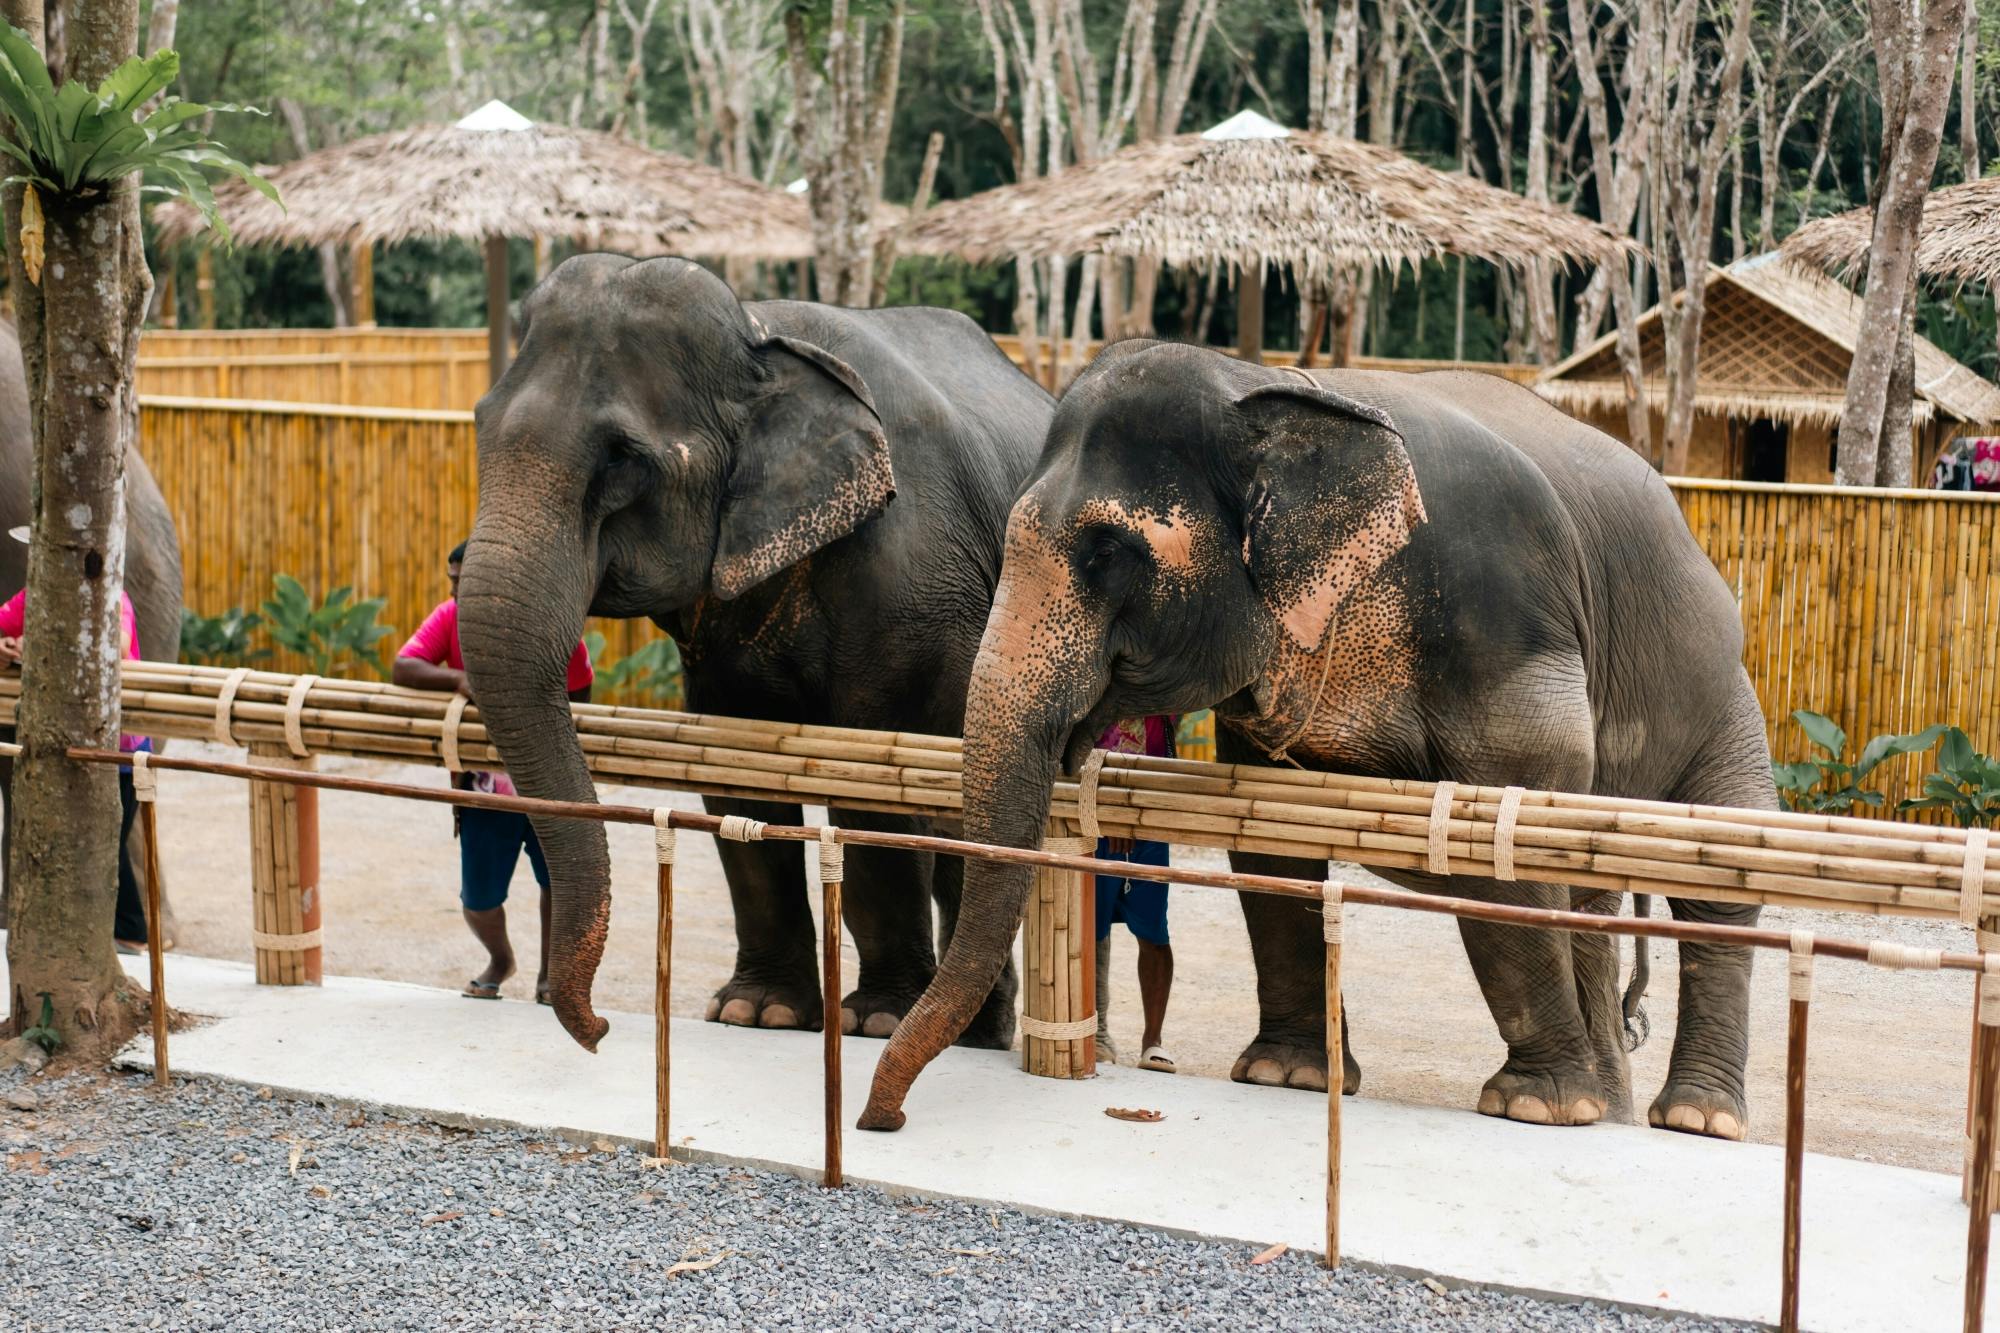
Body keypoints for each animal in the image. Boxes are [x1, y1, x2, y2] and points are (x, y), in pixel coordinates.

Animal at [457, 254, 1052, 1054]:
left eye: (622, 461)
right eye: (480, 426)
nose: (602, 1027)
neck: (760, 333)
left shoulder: (917, 585)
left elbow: (874, 783)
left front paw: (876, 1020)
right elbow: (735, 776)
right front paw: (758, 1012)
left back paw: (977, 1034)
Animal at [860, 340, 1774, 1140]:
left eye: (1108, 550)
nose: (883, 1119)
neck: (1265, 386)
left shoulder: (1505, 626)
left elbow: (1497, 850)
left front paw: (1537, 1108)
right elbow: (1271, 844)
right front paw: (1286, 1075)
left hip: (1725, 696)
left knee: (1717, 884)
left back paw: (1693, 1119)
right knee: (1593, 900)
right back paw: (1616, 1111)